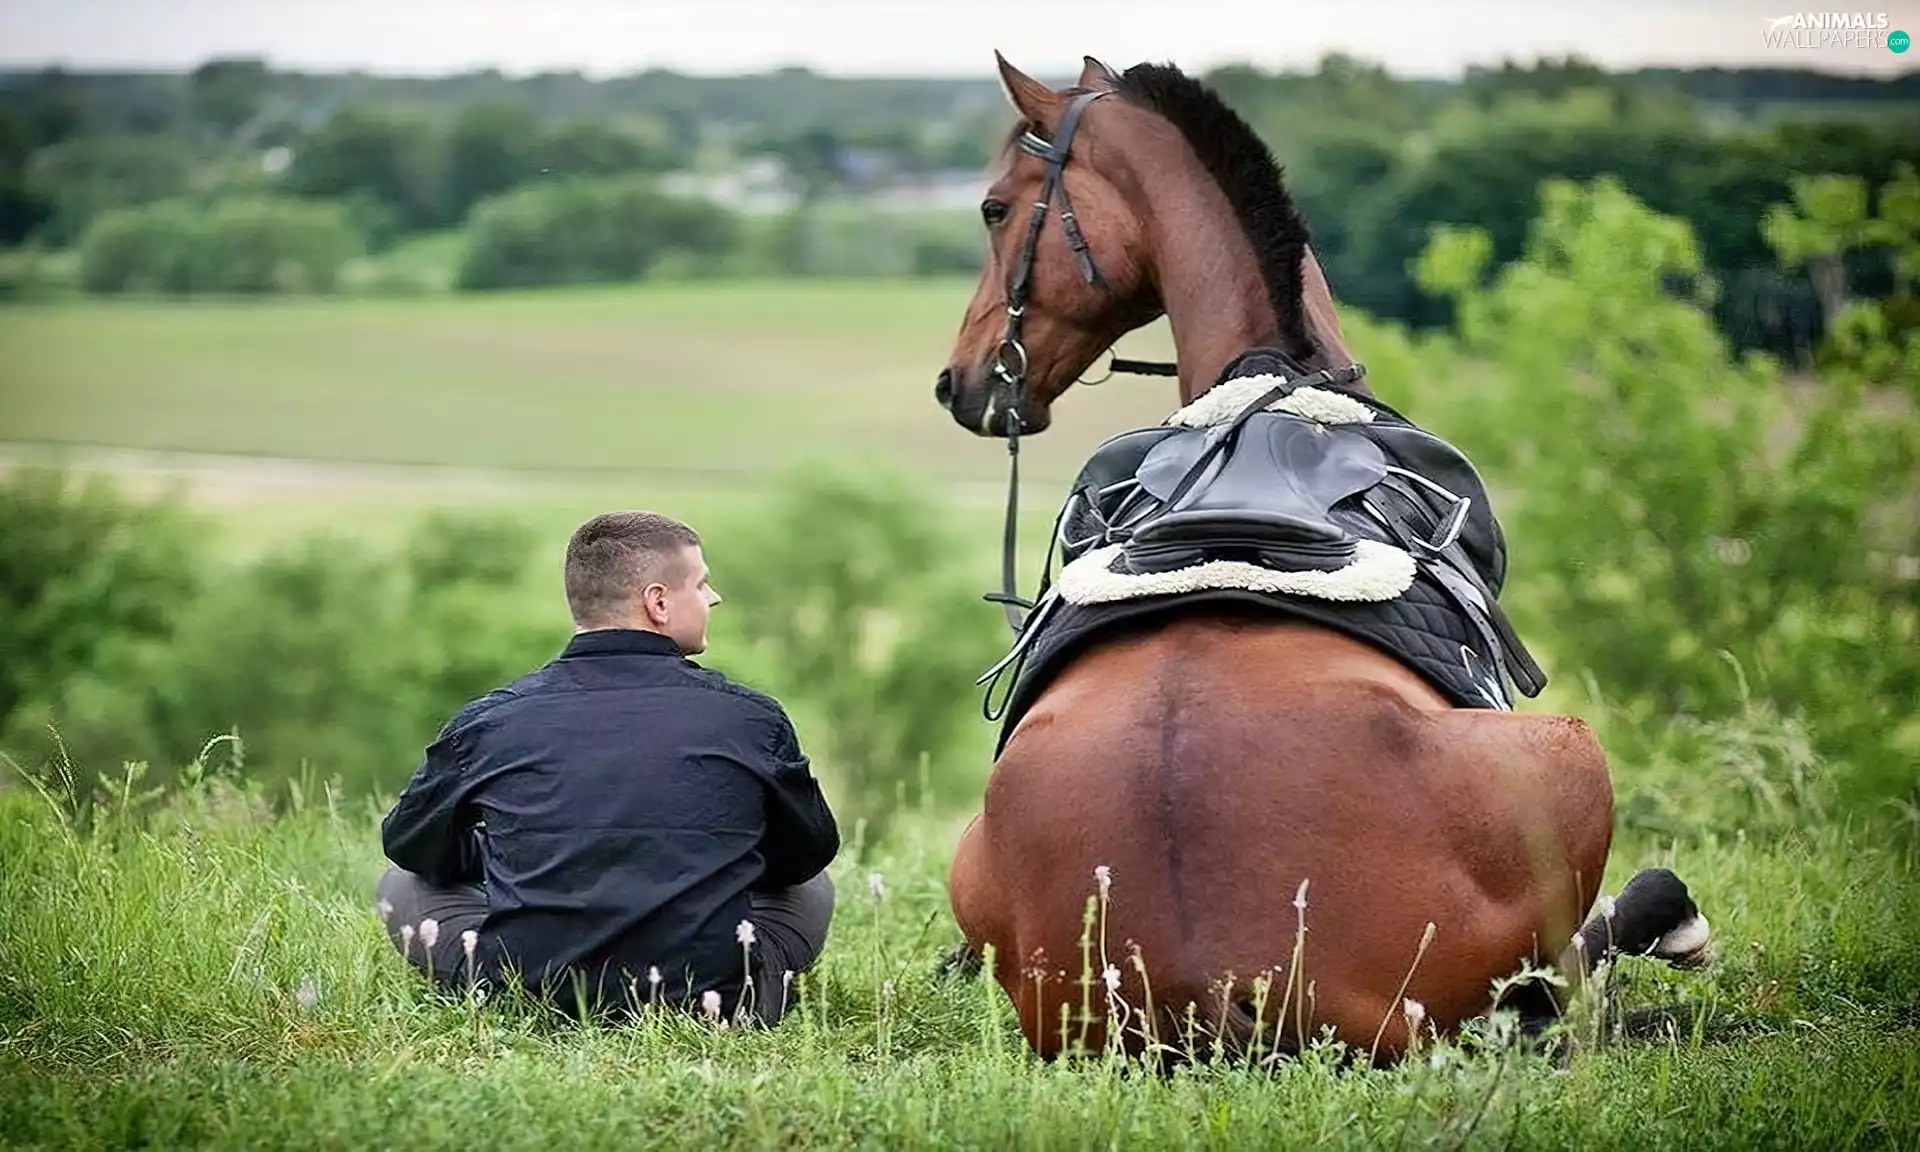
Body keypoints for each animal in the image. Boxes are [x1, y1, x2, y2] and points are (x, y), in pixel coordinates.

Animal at [930, 53, 1713, 1065]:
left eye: (994, 208)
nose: (961, 381)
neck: (1270, 376)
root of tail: (1210, 982)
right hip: (1566, 768)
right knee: (1566, 977)